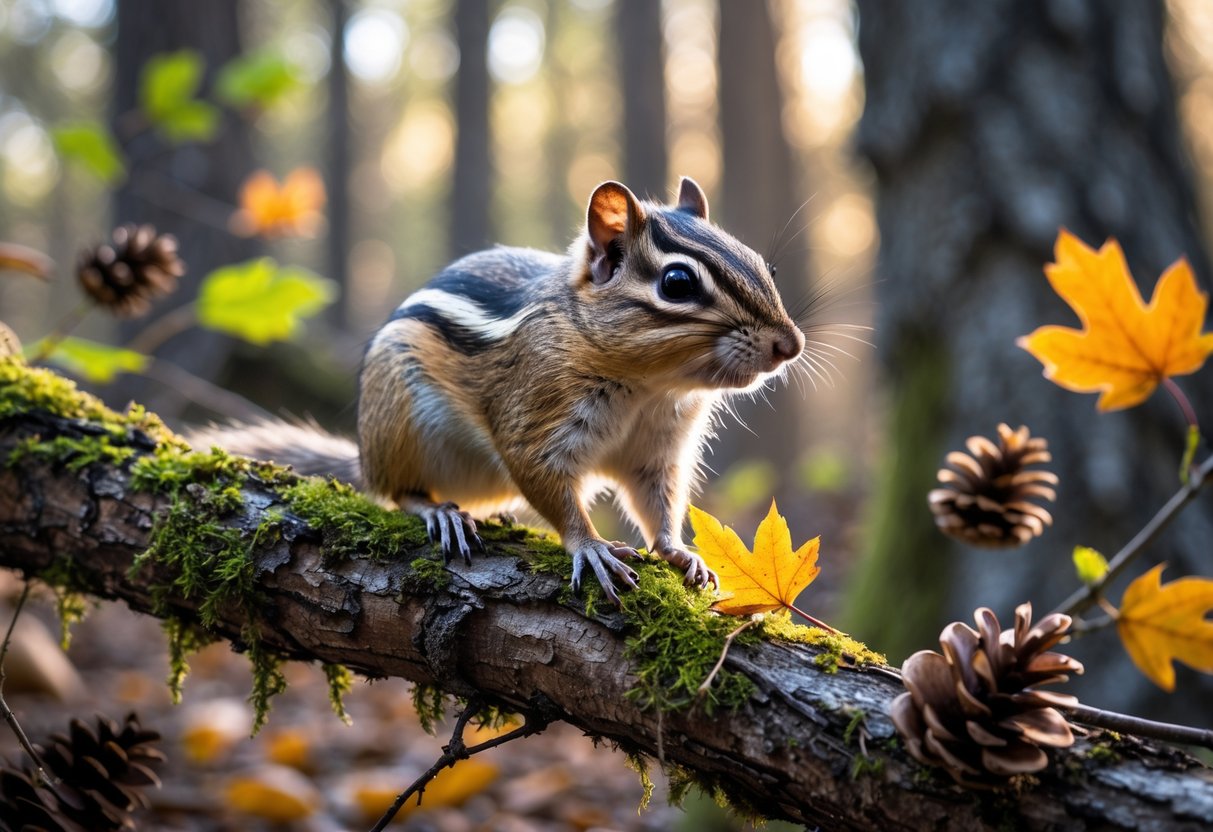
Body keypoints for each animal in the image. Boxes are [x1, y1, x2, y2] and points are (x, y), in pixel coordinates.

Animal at [193, 177, 805, 604]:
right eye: (677, 283)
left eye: (760, 263)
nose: (791, 344)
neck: (650, 387)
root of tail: (365, 456)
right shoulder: (535, 419)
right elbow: (550, 486)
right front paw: (592, 548)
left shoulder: (658, 449)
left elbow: (659, 503)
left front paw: (681, 553)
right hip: (400, 423)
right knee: (397, 490)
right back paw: (441, 512)